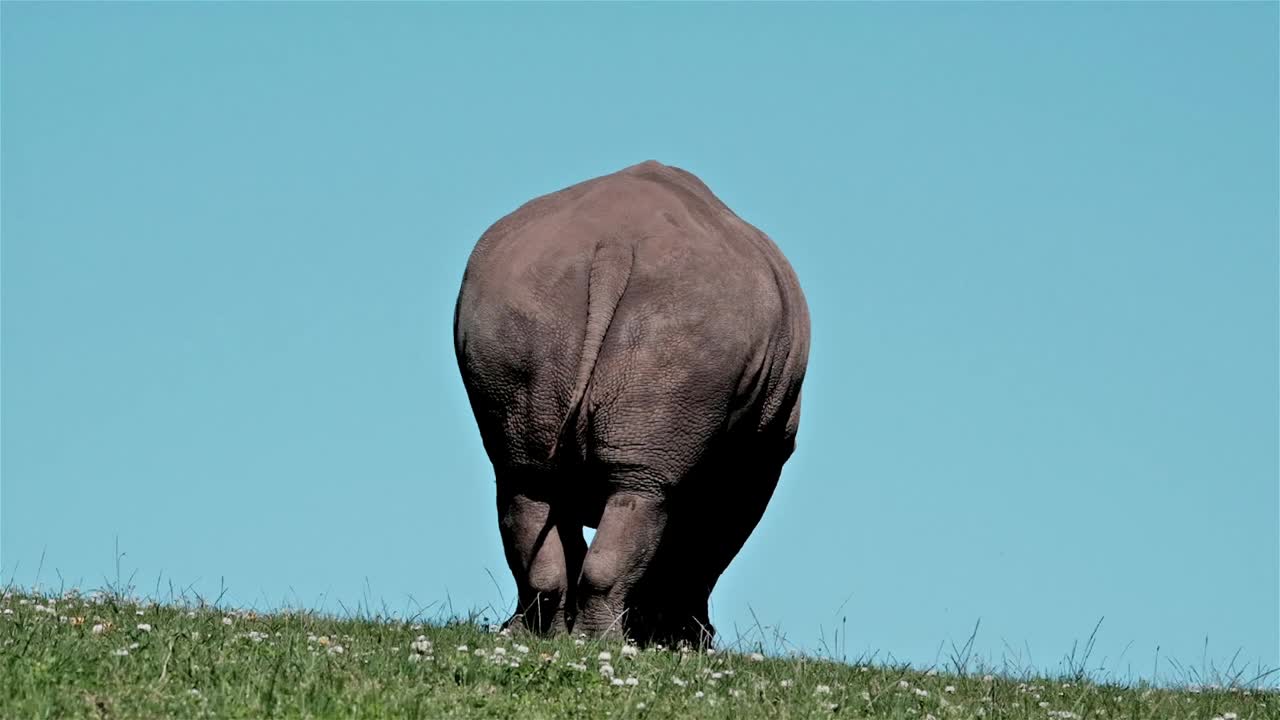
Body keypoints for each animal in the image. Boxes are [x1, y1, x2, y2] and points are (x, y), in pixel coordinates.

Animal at [453, 160, 810, 647]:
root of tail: (612, 246)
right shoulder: (762, 453)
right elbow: (710, 545)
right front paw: (686, 640)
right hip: (686, 327)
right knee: (643, 491)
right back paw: (611, 643)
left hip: (515, 309)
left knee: (527, 481)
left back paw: (538, 635)